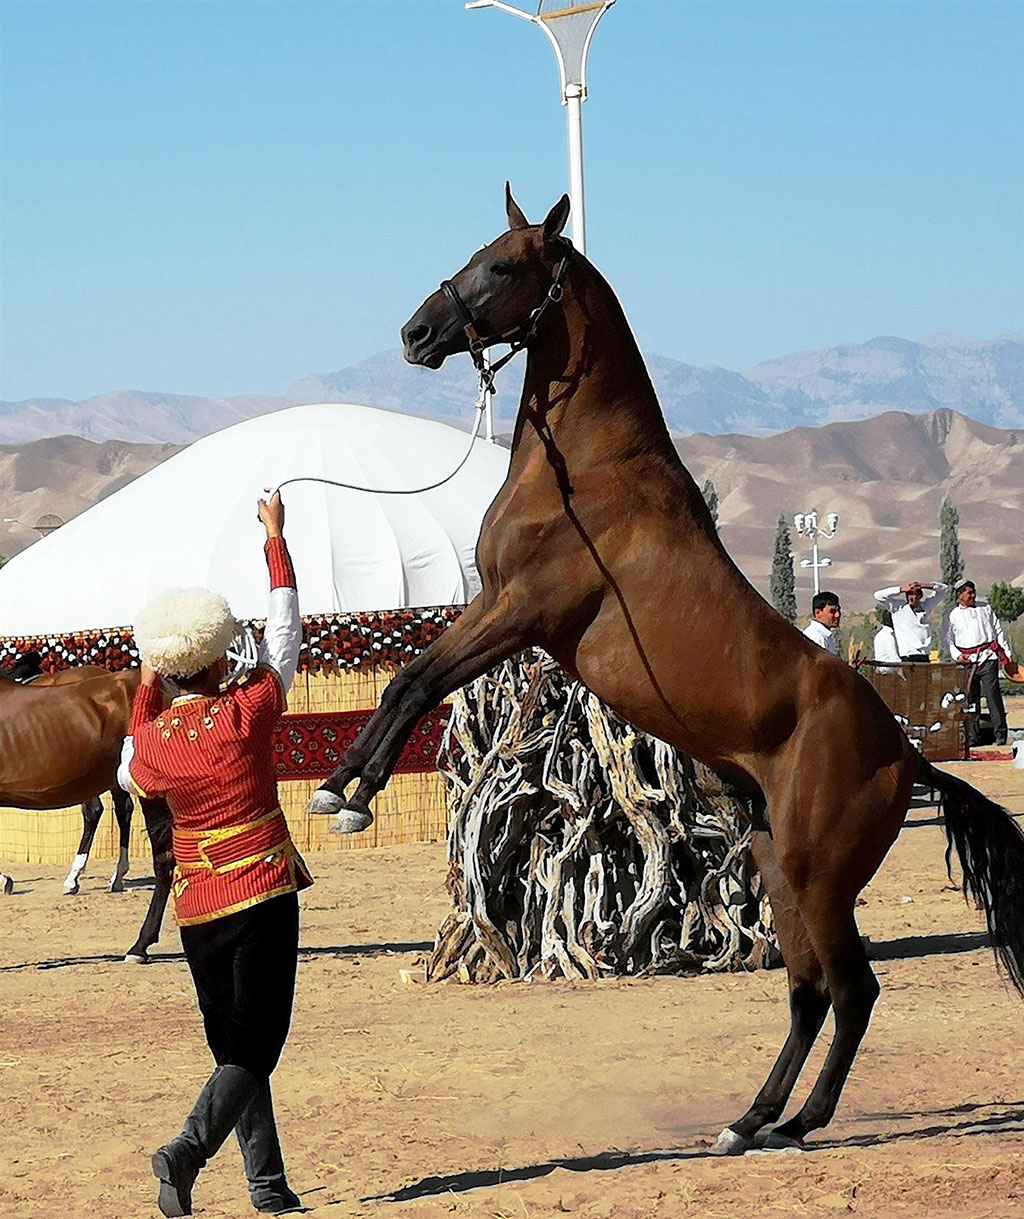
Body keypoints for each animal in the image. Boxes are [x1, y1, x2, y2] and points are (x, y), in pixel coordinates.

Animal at [309, 187, 1024, 1150]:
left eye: (504, 265)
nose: (415, 333)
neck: (588, 469)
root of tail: (909, 754)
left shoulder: (521, 611)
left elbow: (413, 681)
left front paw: (344, 792)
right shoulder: (493, 606)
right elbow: (408, 678)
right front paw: (343, 786)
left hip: (819, 875)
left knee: (854, 990)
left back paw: (799, 1123)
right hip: (778, 865)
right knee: (809, 992)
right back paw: (749, 1121)